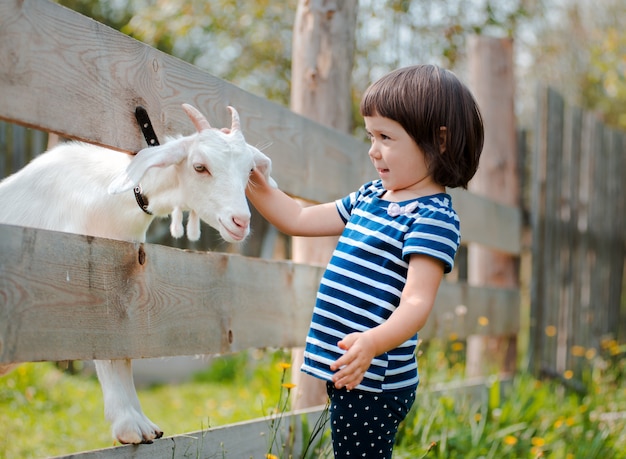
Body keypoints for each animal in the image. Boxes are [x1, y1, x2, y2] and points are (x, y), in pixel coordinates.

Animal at [0, 104, 272, 446]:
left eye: (249, 171)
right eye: (199, 167)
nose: (240, 221)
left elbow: (123, 351)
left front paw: (142, 424)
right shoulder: (83, 281)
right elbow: (104, 347)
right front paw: (129, 425)